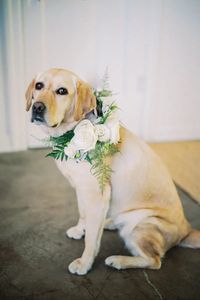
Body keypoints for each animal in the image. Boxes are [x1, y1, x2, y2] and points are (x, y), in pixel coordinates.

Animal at [25, 68, 199, 274]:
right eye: (39, 86)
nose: (37, 107)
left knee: (154, 261)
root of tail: (186, 230)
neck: (73, 133)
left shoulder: (97, 194)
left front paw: (85, 263)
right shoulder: (82, 190)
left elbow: (92, 239)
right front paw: (80, 229)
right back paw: (110, 223)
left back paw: (119, 260)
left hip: (141, 224)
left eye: (62, 91)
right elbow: (83, 213)